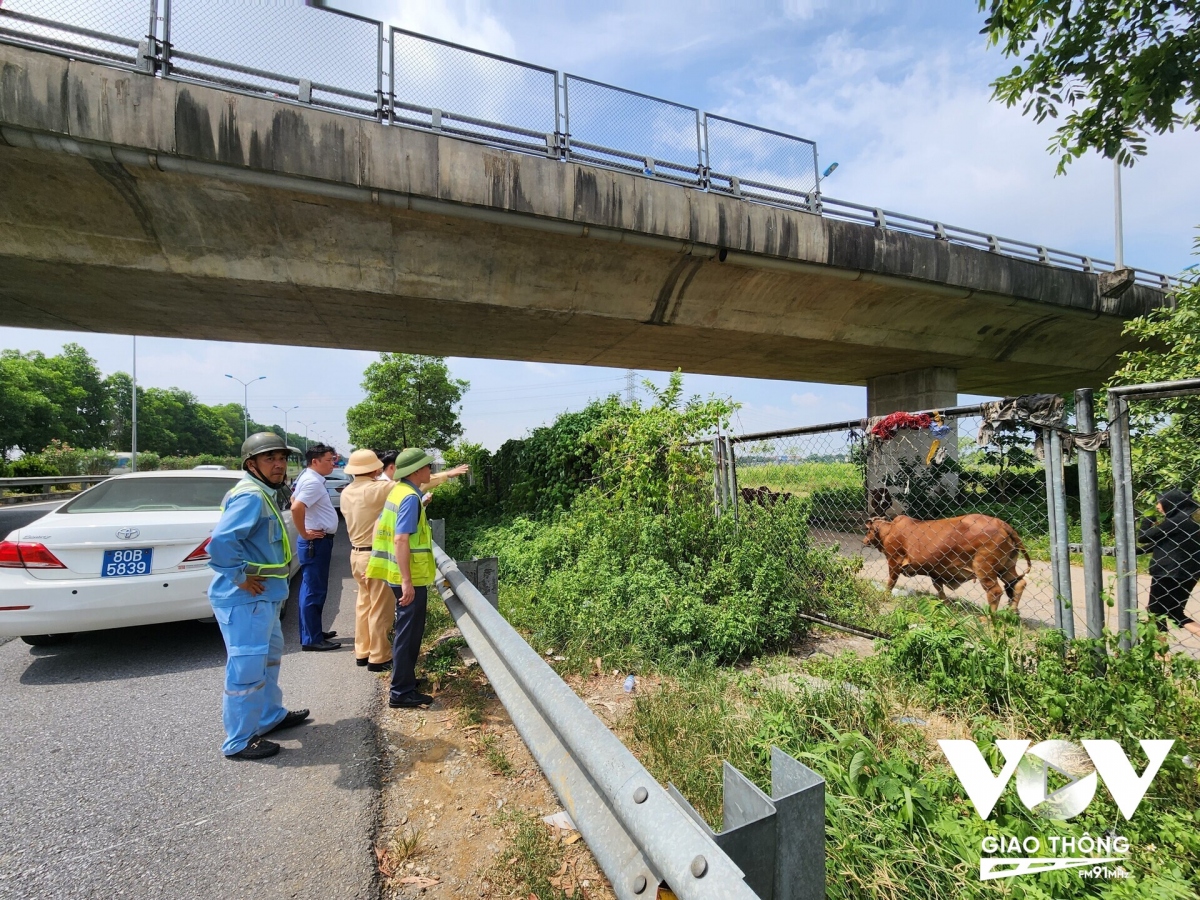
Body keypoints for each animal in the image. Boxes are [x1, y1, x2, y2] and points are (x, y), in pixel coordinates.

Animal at [864, 513, 1032, 614]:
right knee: (1019, 583)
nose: (864, 540)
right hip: (1006, 566)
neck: (888, 530)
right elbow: (939, 587)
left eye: (868, 530)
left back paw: (989, 617)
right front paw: (946, 603)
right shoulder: (934, 570)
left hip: (984, 567)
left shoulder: (894, 561)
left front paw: (886, 594)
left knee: (995, 591)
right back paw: (1012, 611)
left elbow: (891, 582)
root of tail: (1003, 524)